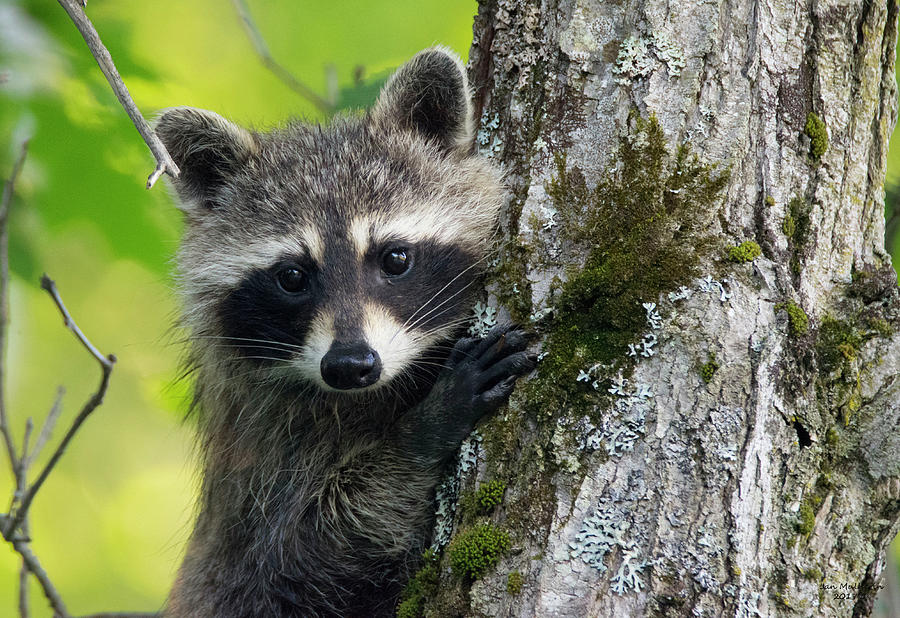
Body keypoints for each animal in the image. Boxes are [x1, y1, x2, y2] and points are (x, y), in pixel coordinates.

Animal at [155, 45, 536, 612]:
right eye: (292, 276)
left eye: (395, 257)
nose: (351, 365)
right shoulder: (267, 443)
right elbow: (303, 555)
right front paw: (421, 431)